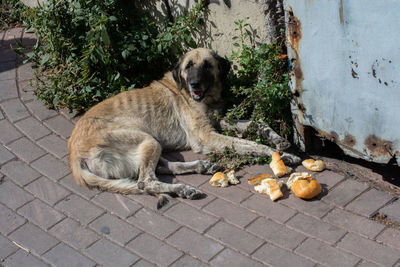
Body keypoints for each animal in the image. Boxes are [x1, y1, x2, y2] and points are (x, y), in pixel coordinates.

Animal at [69, 47, 300, 207]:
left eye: (207, 65)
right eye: (188, 66)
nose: (195, 84)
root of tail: (74, 157)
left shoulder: (219, 121)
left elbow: (257, 123)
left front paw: (278, 140)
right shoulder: (207, 136)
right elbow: (250, 144)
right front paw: (279, 155)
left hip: (149, 143)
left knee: (158, 168)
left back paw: (201, 168)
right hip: (145, 139)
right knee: (146, 181)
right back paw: (183, 188)